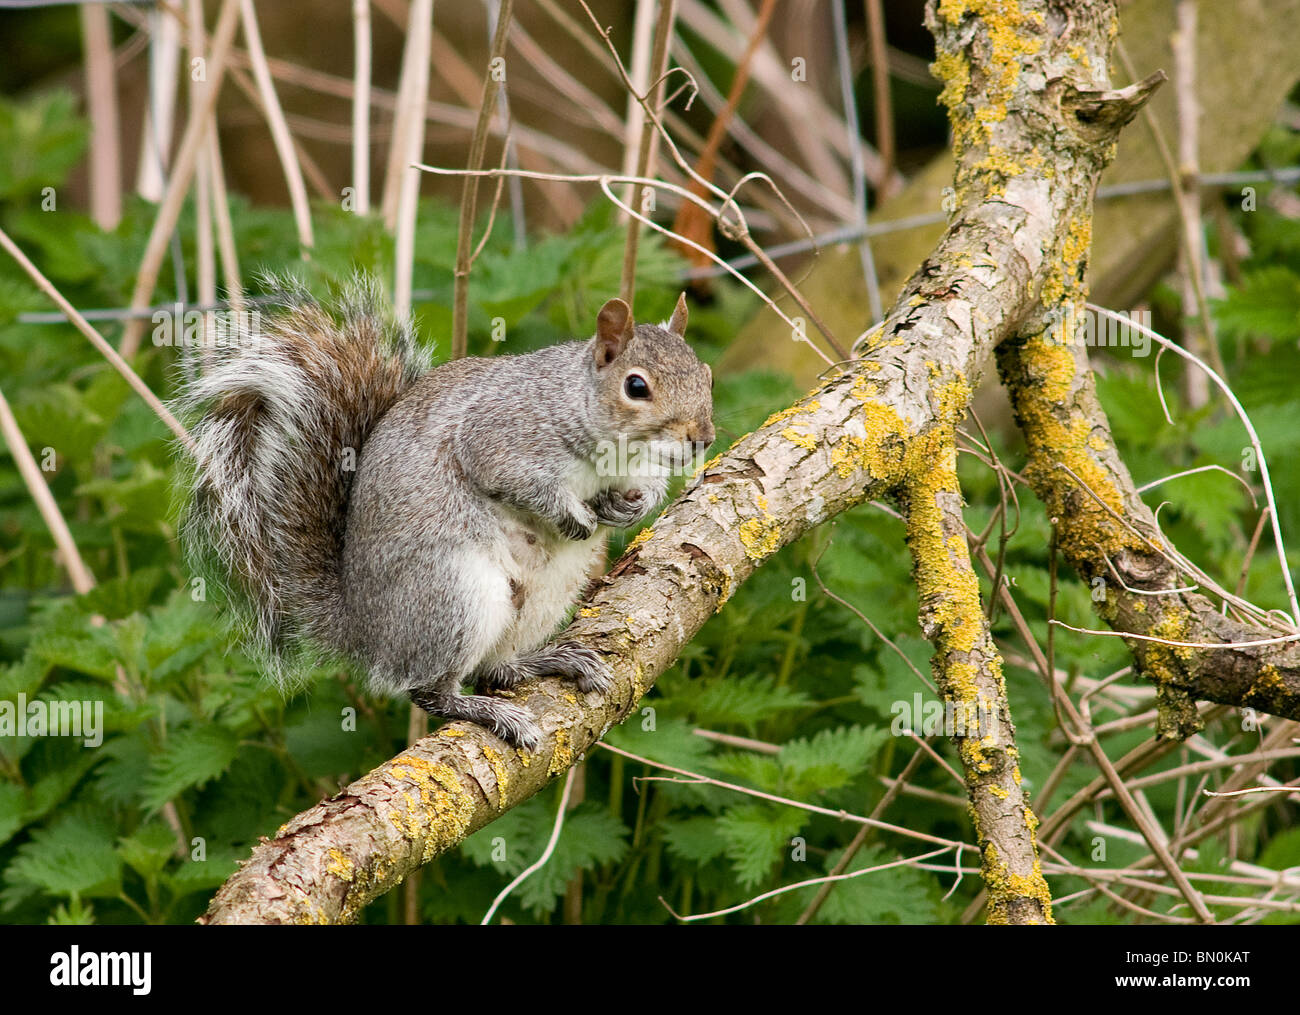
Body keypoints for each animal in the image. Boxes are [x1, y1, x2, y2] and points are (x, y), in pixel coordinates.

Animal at [175, 276, 712, 753]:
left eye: (705, 374)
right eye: (636, 386)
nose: (702, 439)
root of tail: (364, 631)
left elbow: (646, 486)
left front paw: (630, 506)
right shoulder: (498, 436)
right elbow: (515, 480)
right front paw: (572, 516)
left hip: (544, 597)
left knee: (495, 669)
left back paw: (550, 662)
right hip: (455, 596)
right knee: (429, 689)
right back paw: (486, 710)